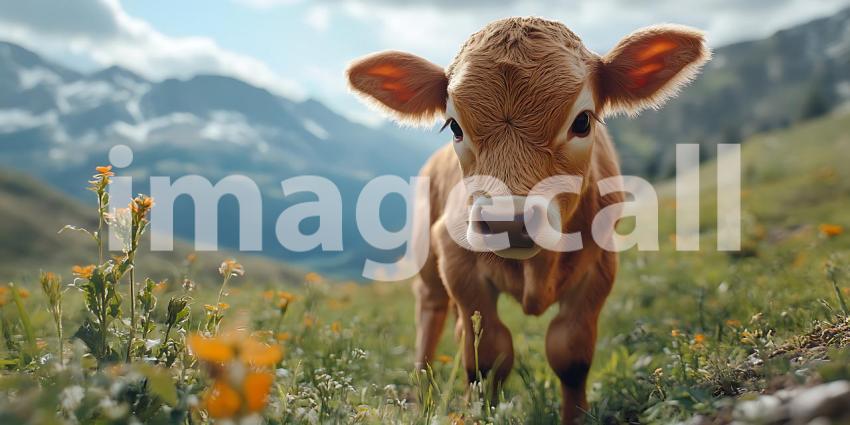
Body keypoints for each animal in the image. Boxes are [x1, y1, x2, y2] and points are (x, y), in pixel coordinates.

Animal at [346, 17, 709, 423]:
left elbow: (570, 353)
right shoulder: (455, 257)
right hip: (427, 260)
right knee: (430, 316)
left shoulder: (600, 266)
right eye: (454, 126)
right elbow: (488, 355)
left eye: (582, 121)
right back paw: (423, 397)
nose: (509, 222)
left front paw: (575, 416)